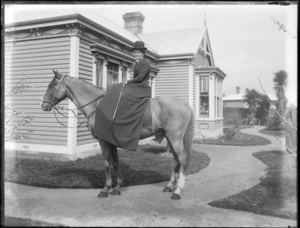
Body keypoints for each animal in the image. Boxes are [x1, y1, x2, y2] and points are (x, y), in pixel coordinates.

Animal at [40, 69, 195, 200]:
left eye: (51, 85)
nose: (43, 105)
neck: (97, 105)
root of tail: (185, 104)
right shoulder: (111, 141)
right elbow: (115, 162)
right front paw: (117, 187)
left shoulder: (103, 141)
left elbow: (107, 163)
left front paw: (105, 189)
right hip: (169, 137)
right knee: (176, 160)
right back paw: (169, 186)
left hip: (175, 138)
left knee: (182, 159)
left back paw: (177, 191)